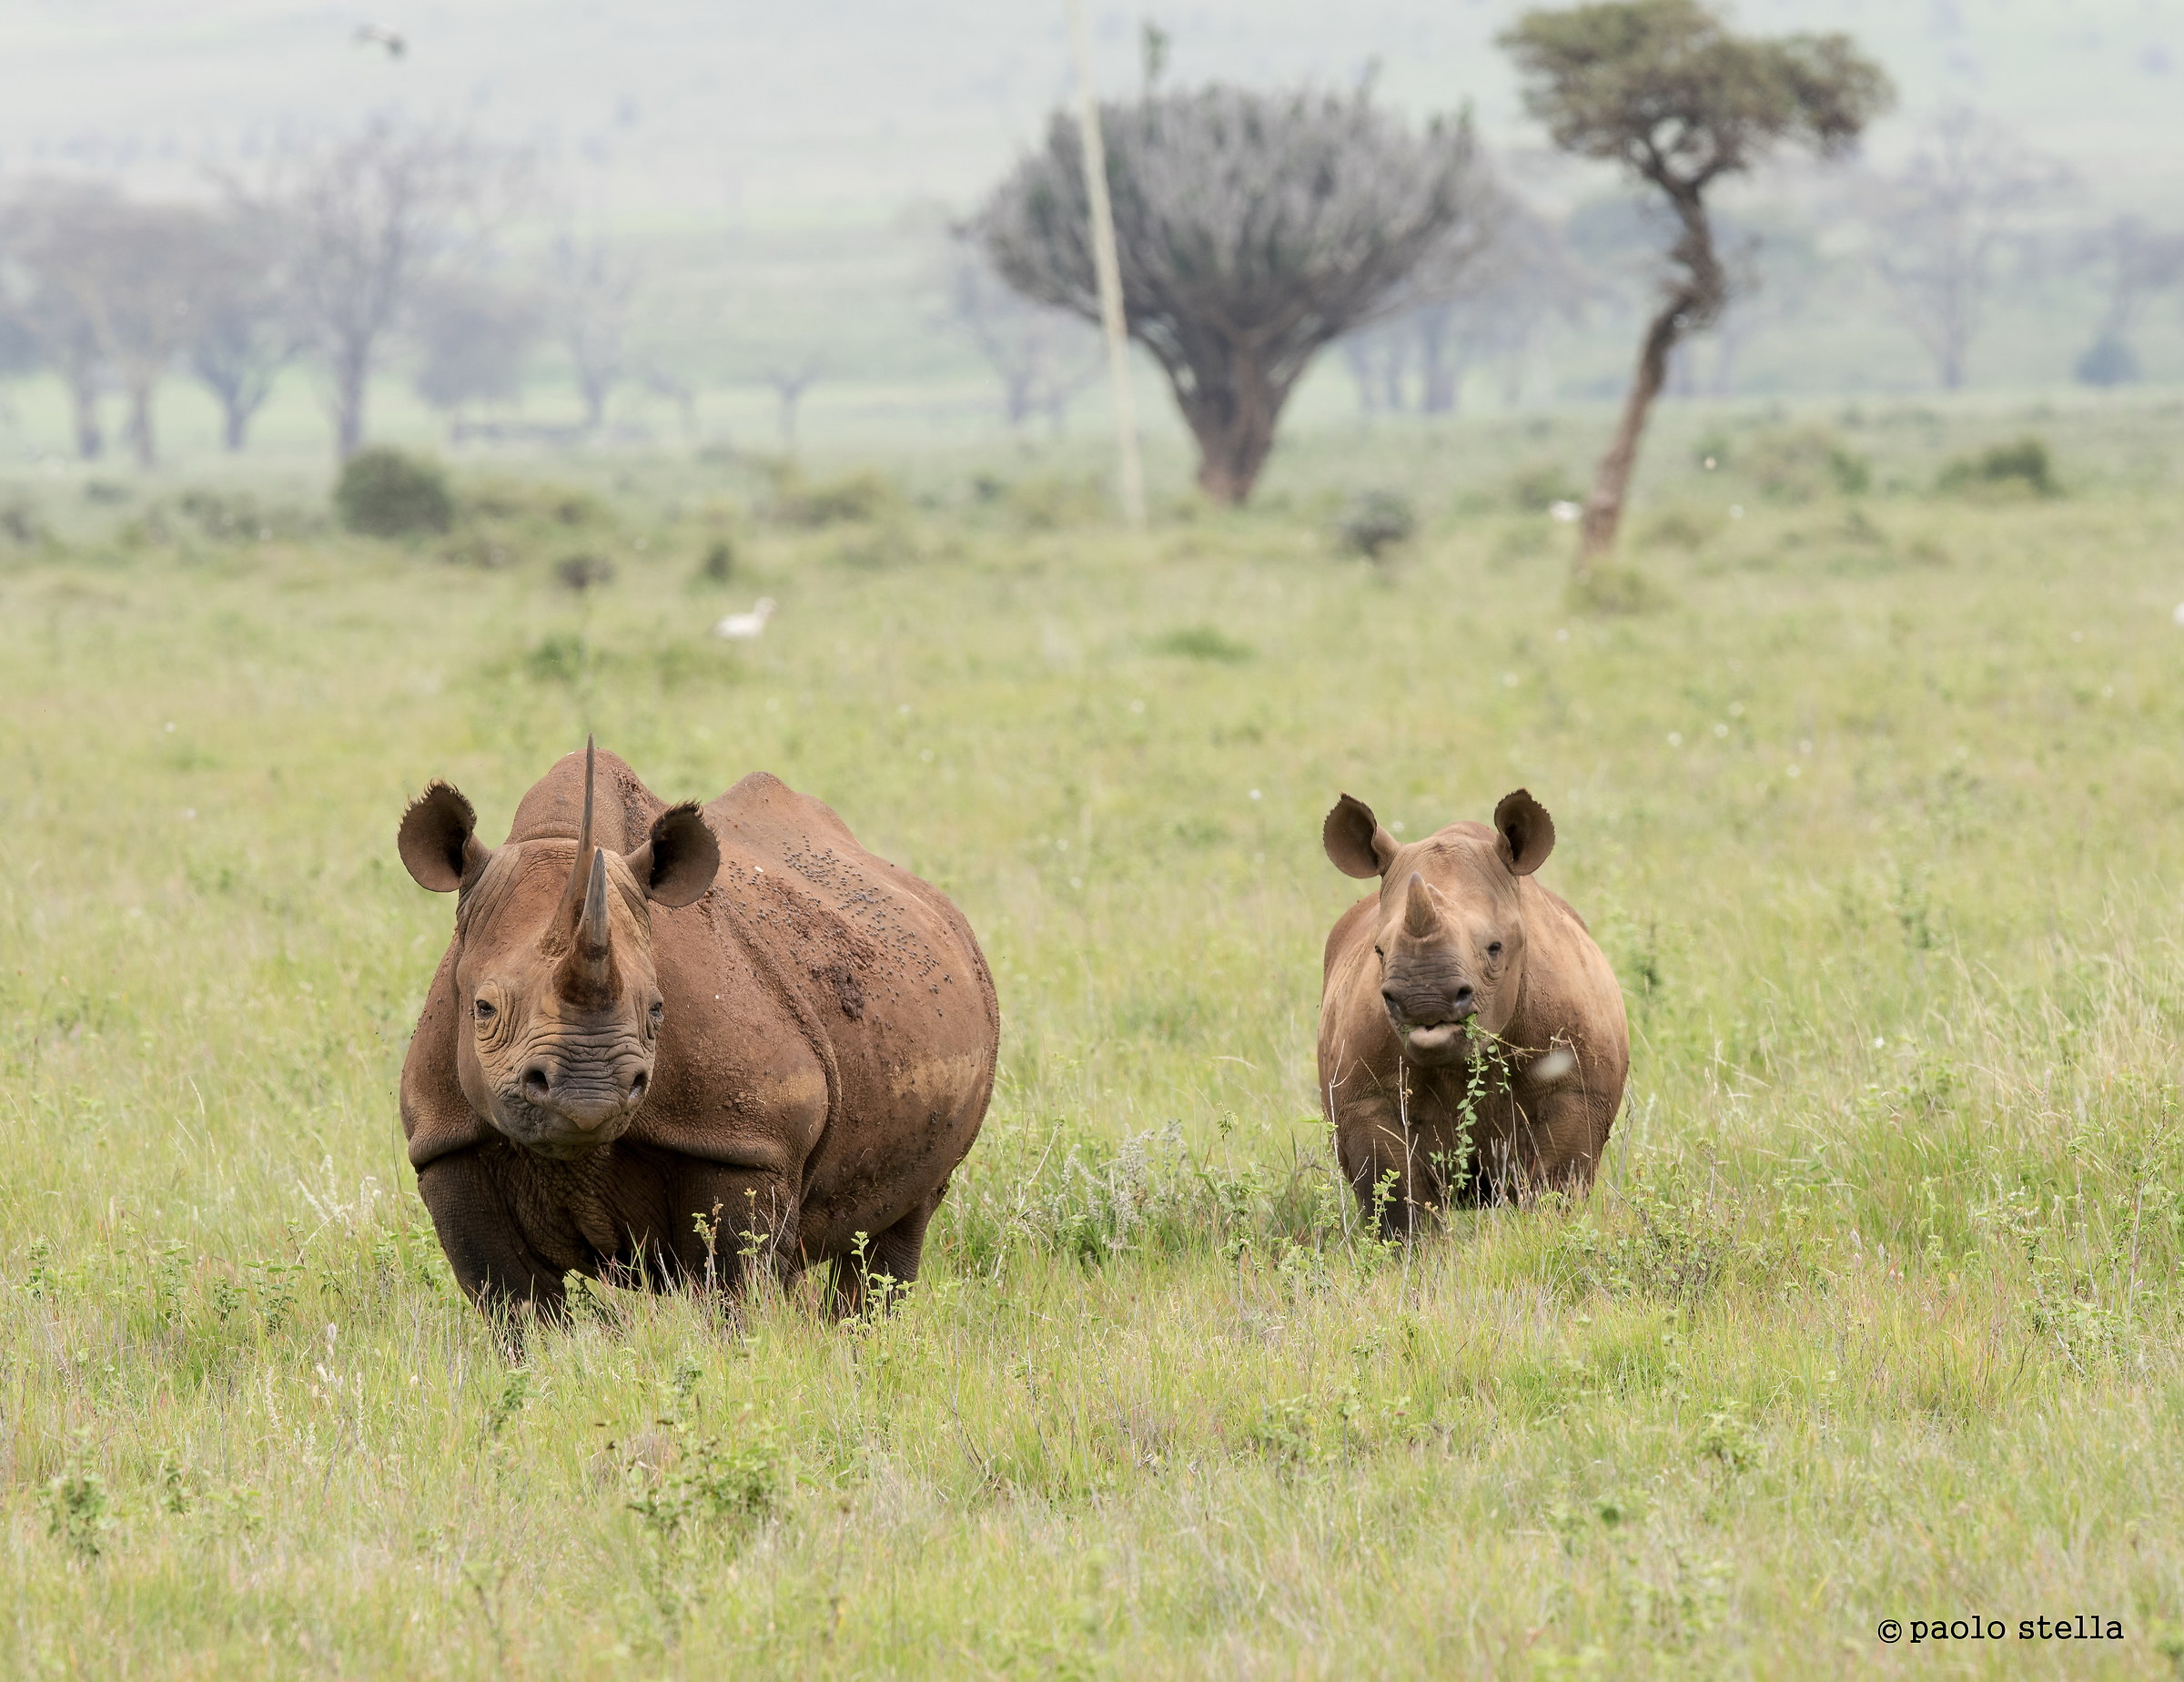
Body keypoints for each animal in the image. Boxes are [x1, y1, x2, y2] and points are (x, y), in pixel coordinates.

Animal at [397, 741, 998, 1321]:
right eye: (482, 1009)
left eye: (658, 1011)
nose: (588, 1097)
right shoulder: (447, 1142)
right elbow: (514, 1303)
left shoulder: (743, 1143)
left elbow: (734, 1290)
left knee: (897, 1230)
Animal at [1316, 789, 1627, 1233]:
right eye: (1378, 950)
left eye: (1495, 949)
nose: (1423, 998)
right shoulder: (1365, 1102)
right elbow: (1398, 1204)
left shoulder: (1576, 1093)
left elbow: (1554, 1192)